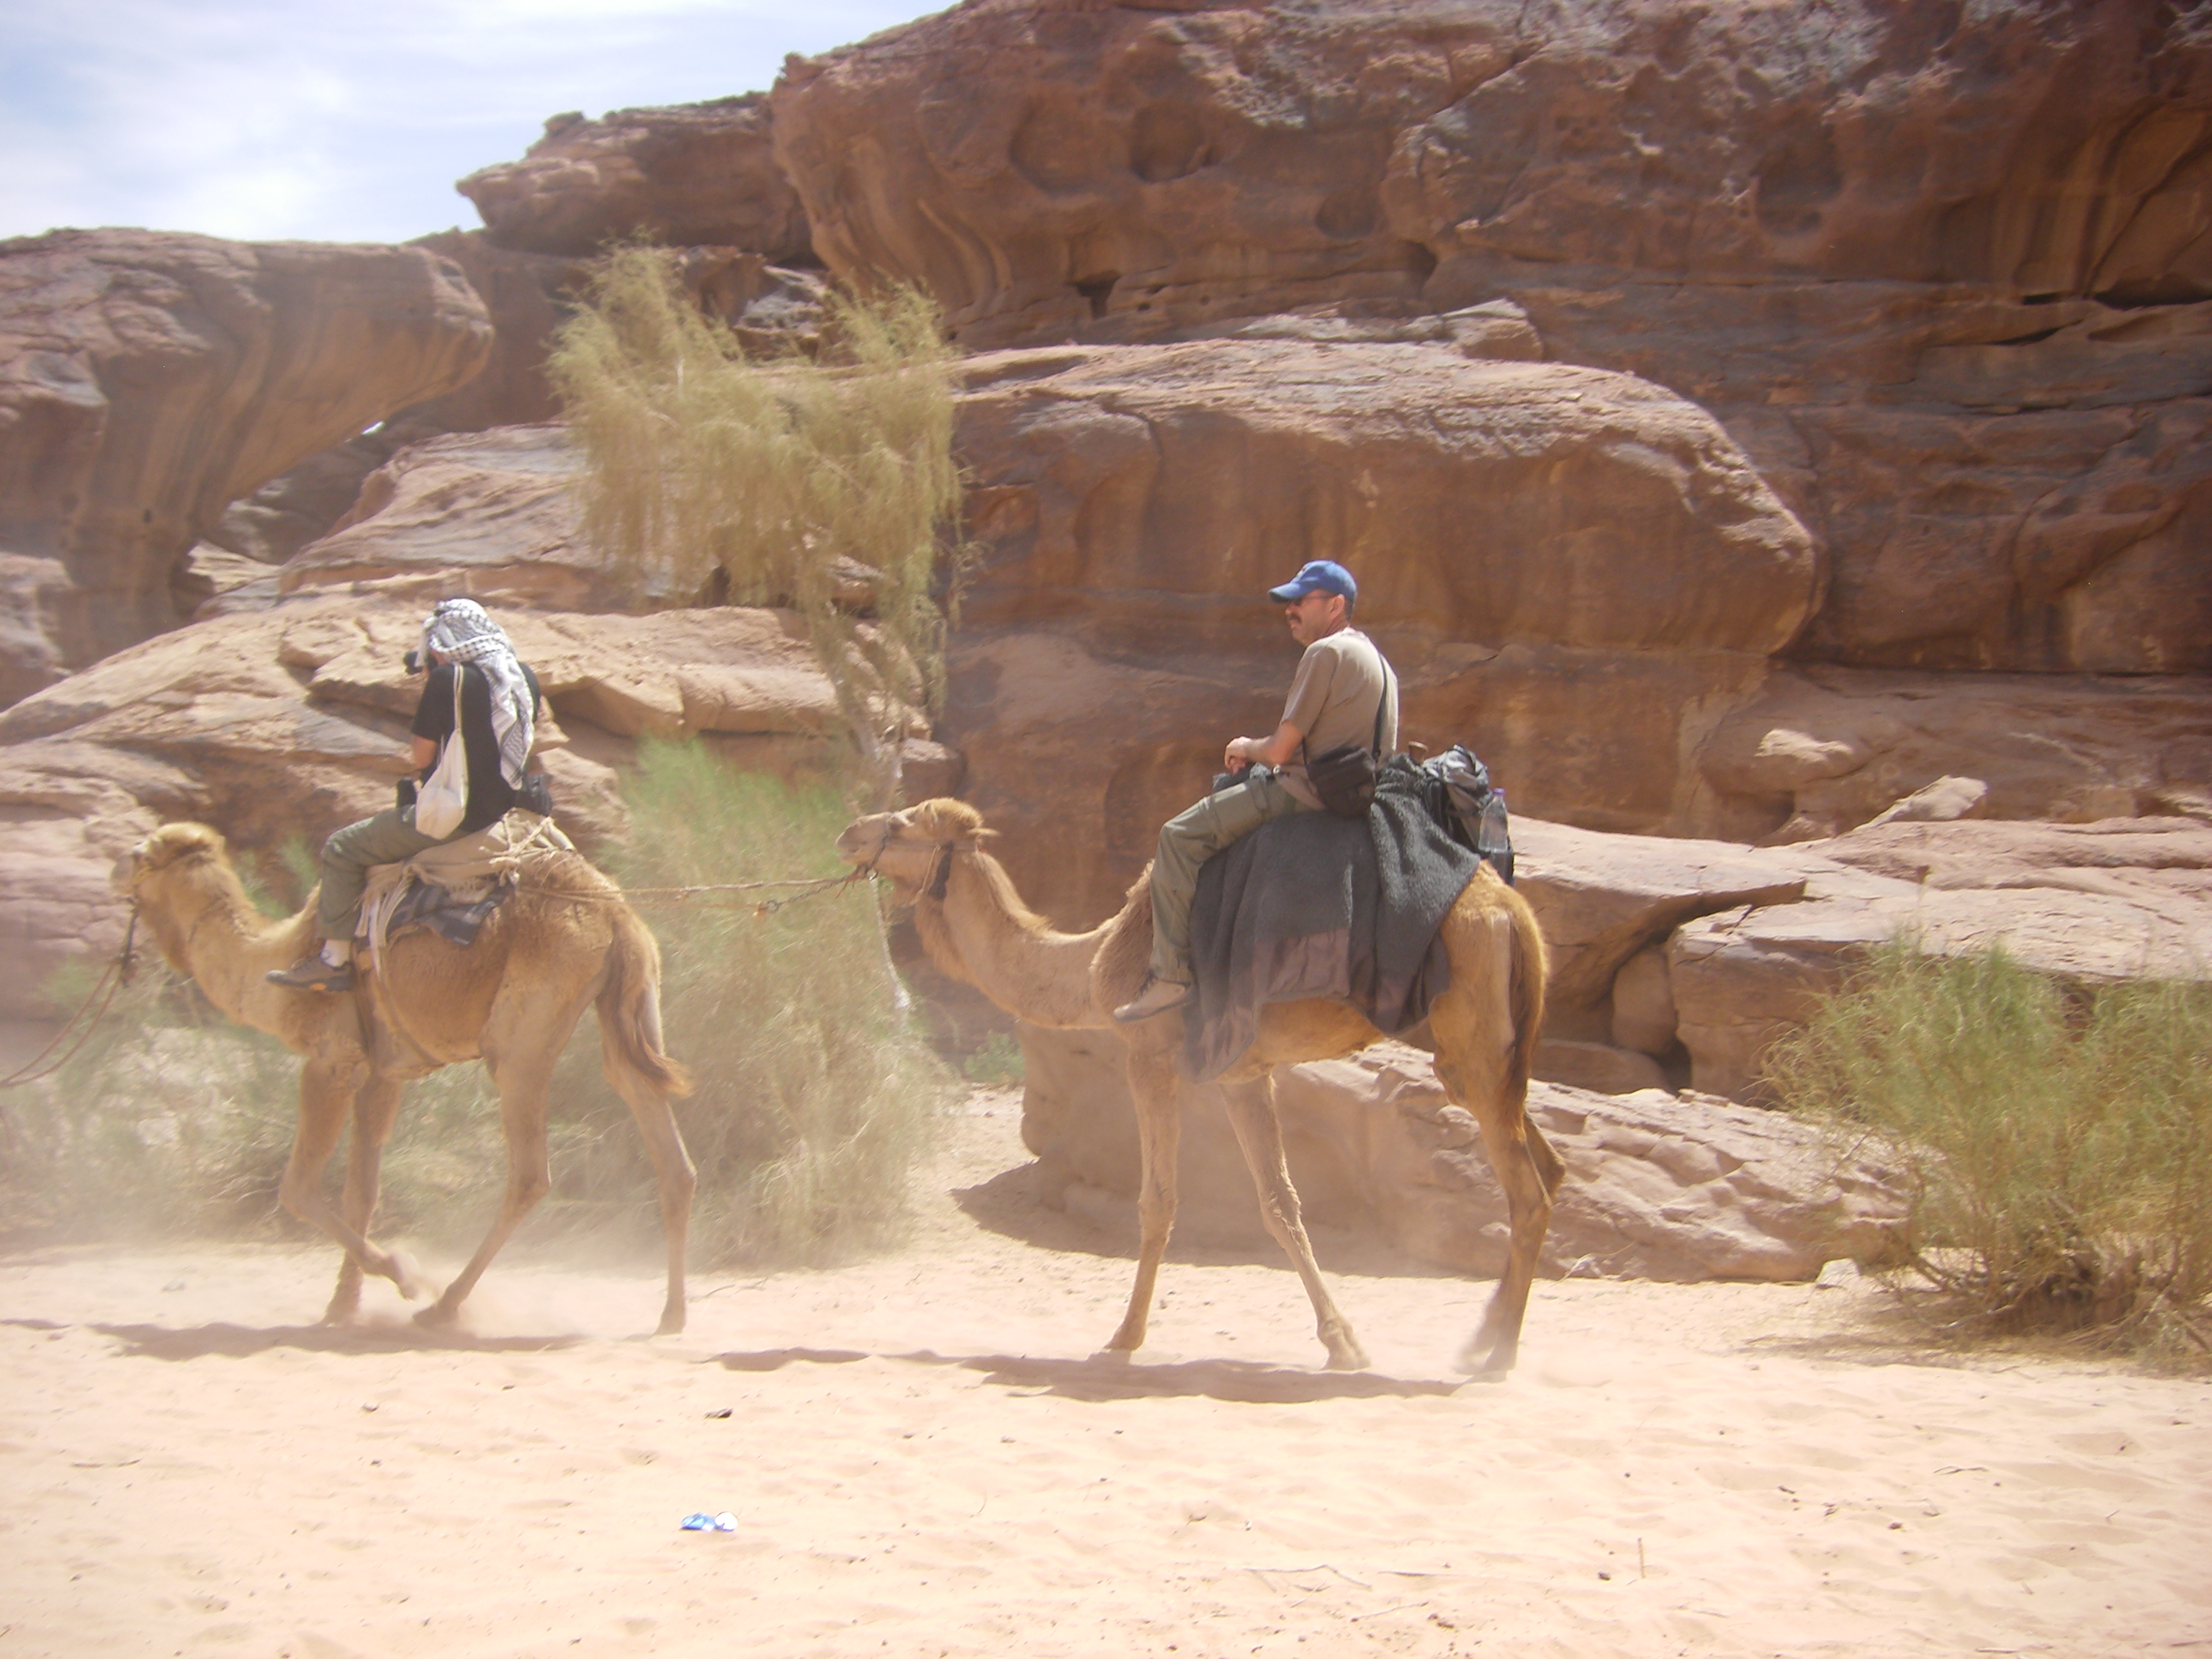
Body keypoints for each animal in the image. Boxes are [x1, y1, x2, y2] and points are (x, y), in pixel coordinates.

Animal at [114, 822, 698, 1336]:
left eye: (140, 854)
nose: (114, 868)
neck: (271, 968)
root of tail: (617, 913)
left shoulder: (333, 1061)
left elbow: (297, 1189)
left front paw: (402, 1274)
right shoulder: (382, 1074)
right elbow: (362, 1192)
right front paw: (342, 1306)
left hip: (523, 1037)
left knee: (530, 1173)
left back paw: (443, 1306)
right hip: (629, 1002)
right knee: (662, 1140)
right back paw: (671, 1315)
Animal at [836, 801, 1565, 1380]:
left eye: (904, 821)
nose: (847, 832)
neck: (1095, 962)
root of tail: (1515, 915)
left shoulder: (1148, 1055)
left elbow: (1157, 1203)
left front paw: (1123, 1338)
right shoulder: (1242, 1075)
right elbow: (1280, 1204)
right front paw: (1343, 1343)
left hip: (1472, 1035)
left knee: (1527, 1192)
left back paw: (1495, 1354)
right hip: (1483, 1056)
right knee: (1550, 1169)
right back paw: (1484, 1337)